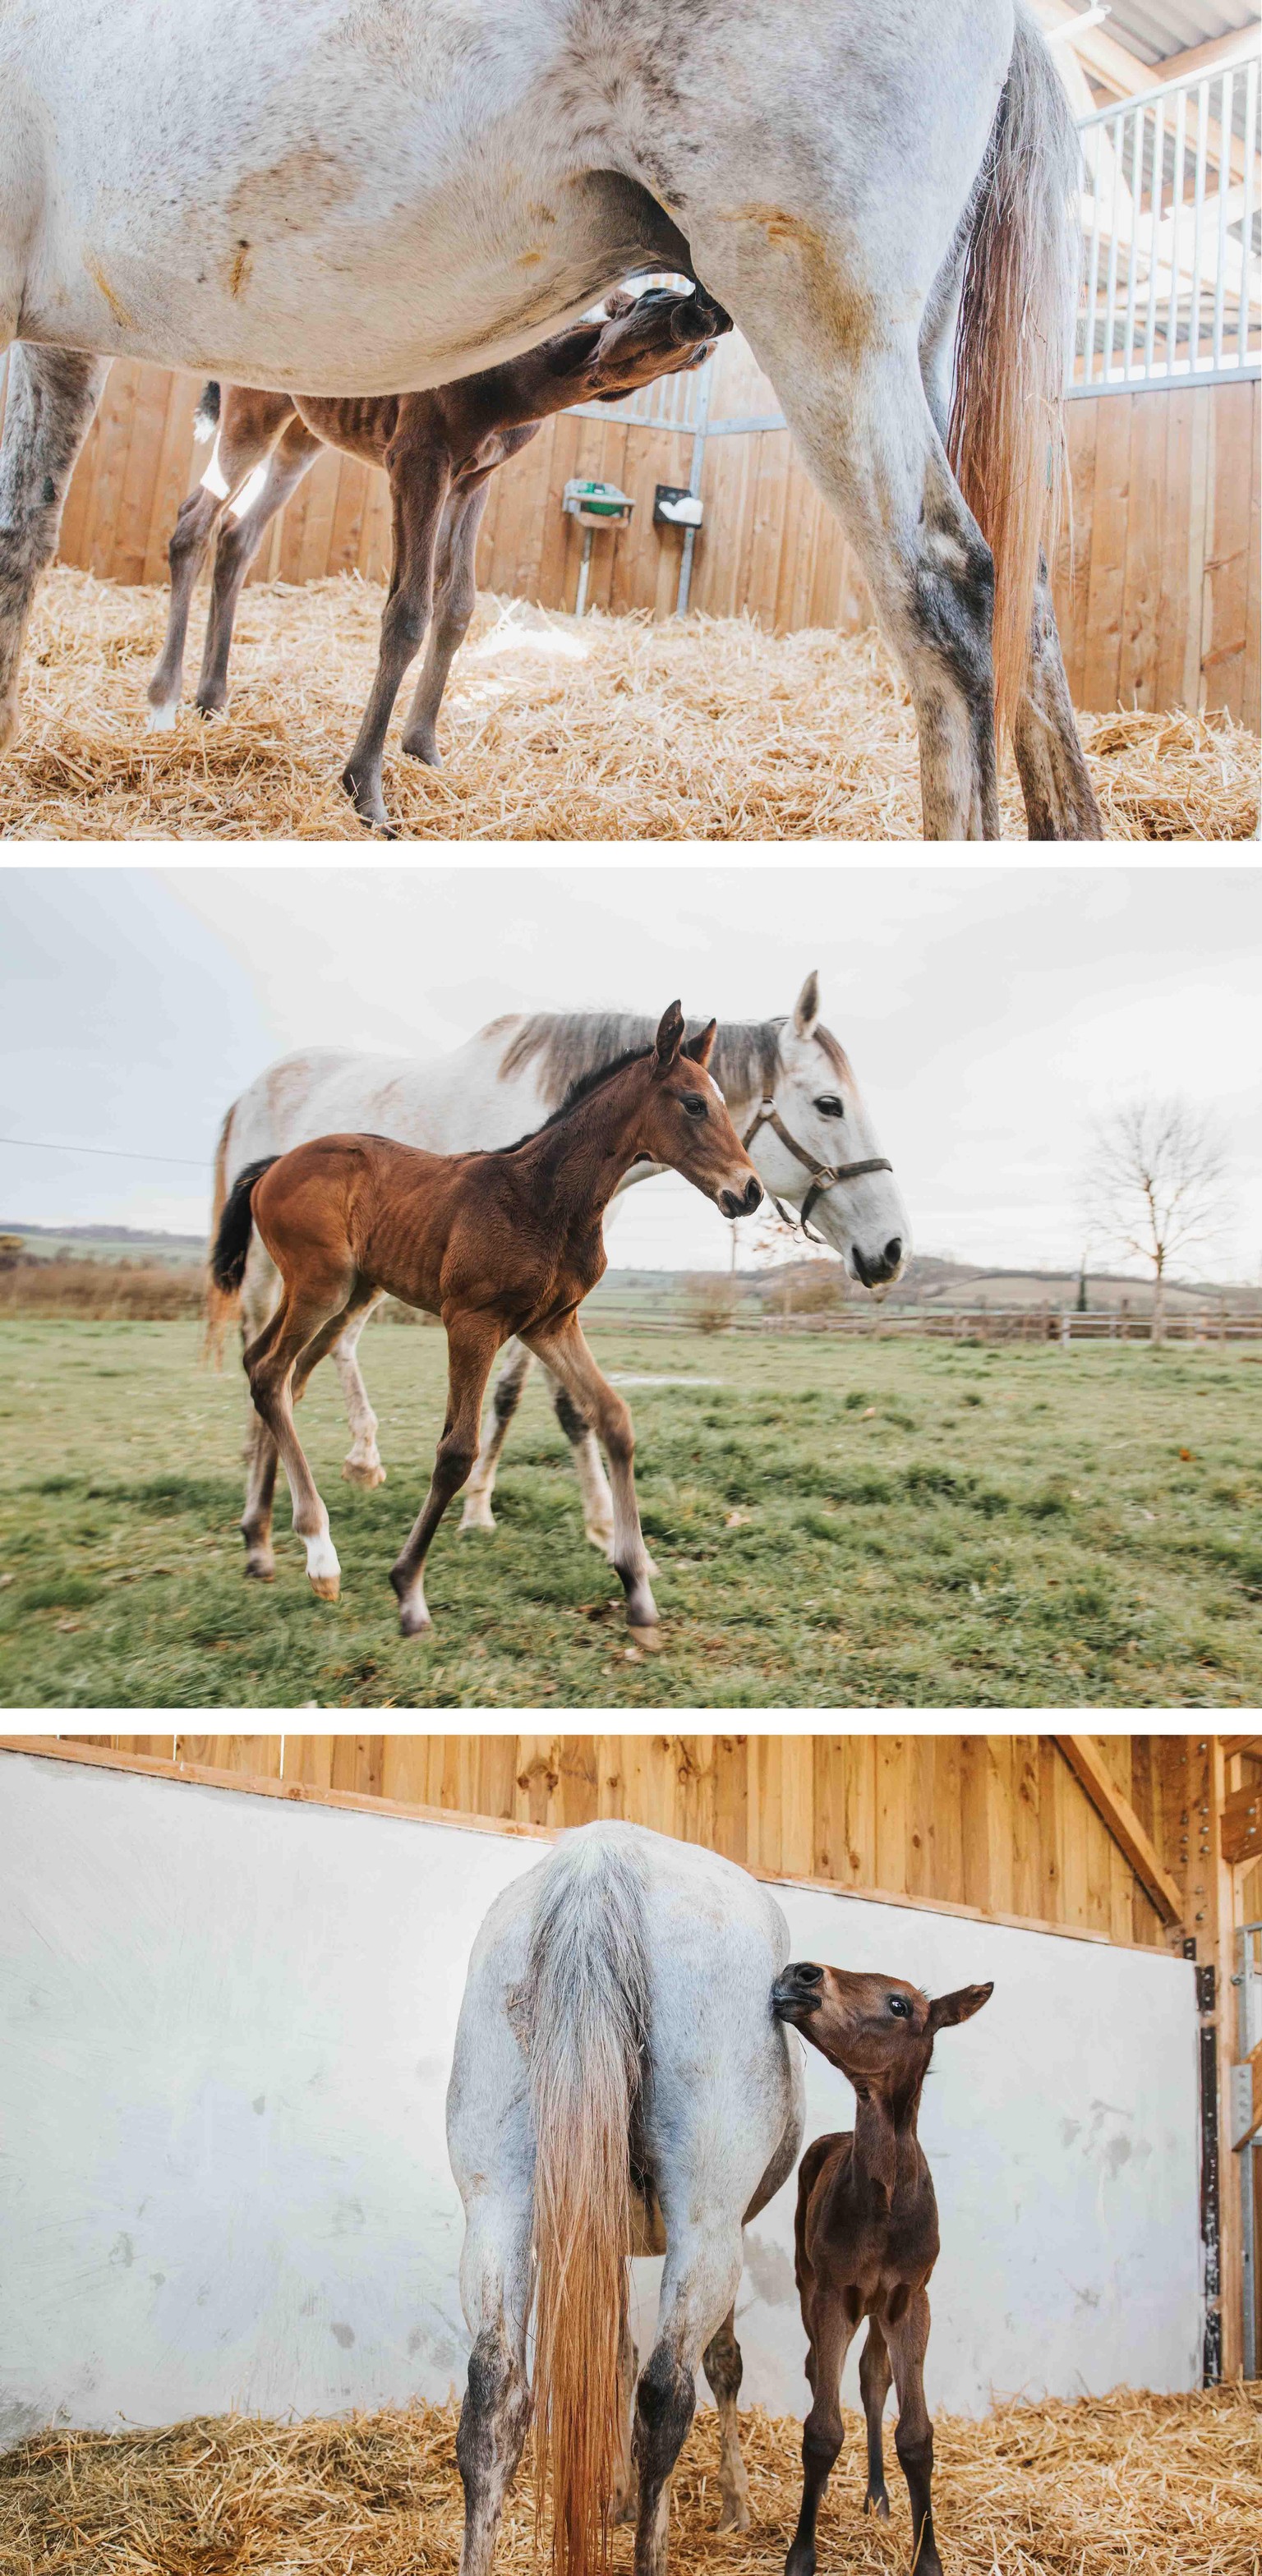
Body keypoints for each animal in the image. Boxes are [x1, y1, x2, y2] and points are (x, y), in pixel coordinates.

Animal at [145, 286, 727, 832]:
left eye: (695, 353)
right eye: (649, 297)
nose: (704, 314)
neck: (511, 391)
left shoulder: (474, 478)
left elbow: (458, 605)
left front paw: (423, 749)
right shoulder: (417, 456)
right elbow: (407, 614)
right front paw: (365, 792)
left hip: (300, 434)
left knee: (238, 536)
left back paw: (212, 699)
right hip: (255, 409)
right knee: (194, 523)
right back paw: (164, 701)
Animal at [205, 973, 909, 1564]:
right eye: (829, 1104)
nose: (893, 1249)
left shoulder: (545, 1311)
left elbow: (544, 1401)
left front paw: (584, 1524)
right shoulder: (488, 1311)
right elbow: (528, 1407)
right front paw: (534, 1517)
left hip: (356, 1284)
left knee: (309, 1363)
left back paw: (326, 1483)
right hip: (286, 1278)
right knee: (263, 1357)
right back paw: (282, 1506)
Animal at [209, 1003, 762, 1637]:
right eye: (694, 1104)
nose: (749, 1191)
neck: (544, 1197)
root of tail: (275, 1164)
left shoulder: (551, 1324)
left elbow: (613, 1419)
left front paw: (637, 1586)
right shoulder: (472, 1321)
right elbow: (456, 1452)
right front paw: (409, 1593)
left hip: (347, 1292)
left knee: (275, 1376)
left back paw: (261, 1544)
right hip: (319, 1286)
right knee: (270, 1373)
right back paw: (320, 1553)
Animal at [447, 1819, 805, 2576]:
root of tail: (599, 1860)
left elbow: (609, 2352)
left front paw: (611, 2497)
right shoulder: (720, 2226)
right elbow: (720, 2363)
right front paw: (733, 2504)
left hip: (496, 2206)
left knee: (494, 2399)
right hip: (706, 2223)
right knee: (667, 2395)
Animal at [771, 1959, 994, 2576]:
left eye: (901, 2005)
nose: (801, 1974)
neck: (885, 2203)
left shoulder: (910, 2299)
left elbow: (916, 2435)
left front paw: (928, 2559)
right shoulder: (833, 2294)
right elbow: (822, 2430)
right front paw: (802, 2555)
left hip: (876, 2309)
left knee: (873, 2377)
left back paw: (877, 2493)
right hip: (808, 2282)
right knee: (816, 2367)